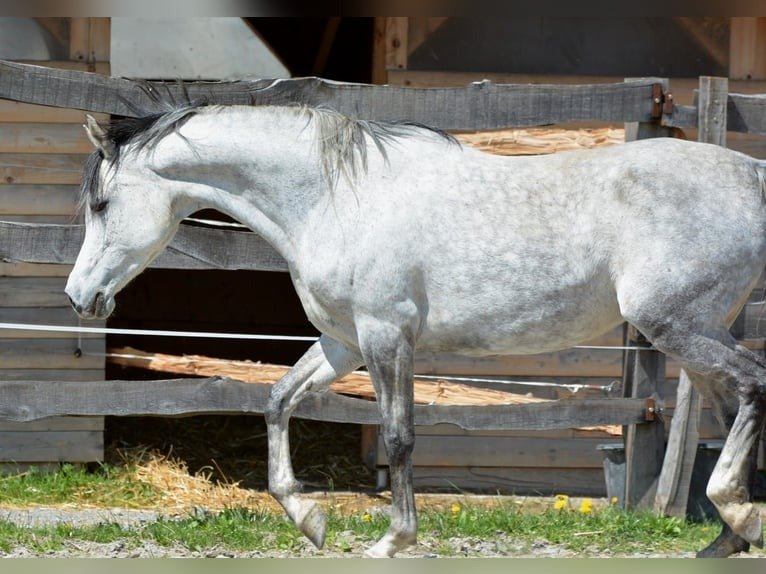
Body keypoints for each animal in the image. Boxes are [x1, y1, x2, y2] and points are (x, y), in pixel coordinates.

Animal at [65, 101, 766, 558]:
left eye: (101, 204)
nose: (79, 296)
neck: (334, 199)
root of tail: (751, 175)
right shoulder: (343, 342)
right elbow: (278, 401)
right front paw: (310, 520)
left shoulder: (385, 336)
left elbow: (399, 437)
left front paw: (392, 539)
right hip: (698, 333)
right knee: (733, 405)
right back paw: (724, 540)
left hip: (677, 325)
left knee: (753, 387)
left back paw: (737, 514)